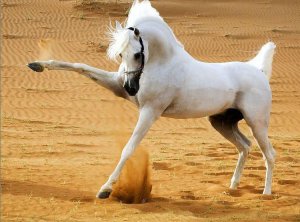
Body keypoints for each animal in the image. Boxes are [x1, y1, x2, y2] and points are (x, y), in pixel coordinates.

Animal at [28, 0, 276, 198]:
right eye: (120, 54)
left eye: (138, 54)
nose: (131, 88)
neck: (162, 63)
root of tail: (259, 72)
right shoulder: (116, 86)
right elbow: (80, 67)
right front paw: (38, 64)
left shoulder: (150, 112)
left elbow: (129, 148)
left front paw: (105, 189)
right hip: (222, 122)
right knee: (245, 147)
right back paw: (232, 187)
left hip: (257, 122)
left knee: (269, 153)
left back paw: (266, 193)